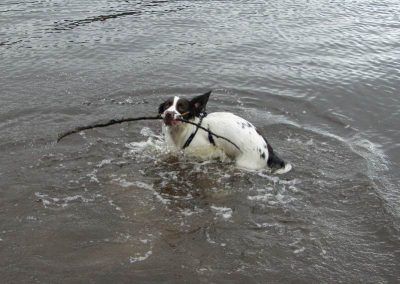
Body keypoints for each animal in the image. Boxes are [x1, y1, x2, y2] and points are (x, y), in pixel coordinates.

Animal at [158, 91, 292, 173]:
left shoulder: (207, 150)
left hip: (245, 163)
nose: (168, 114)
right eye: (167, 105)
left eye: (181, 107)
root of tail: (267, 148)